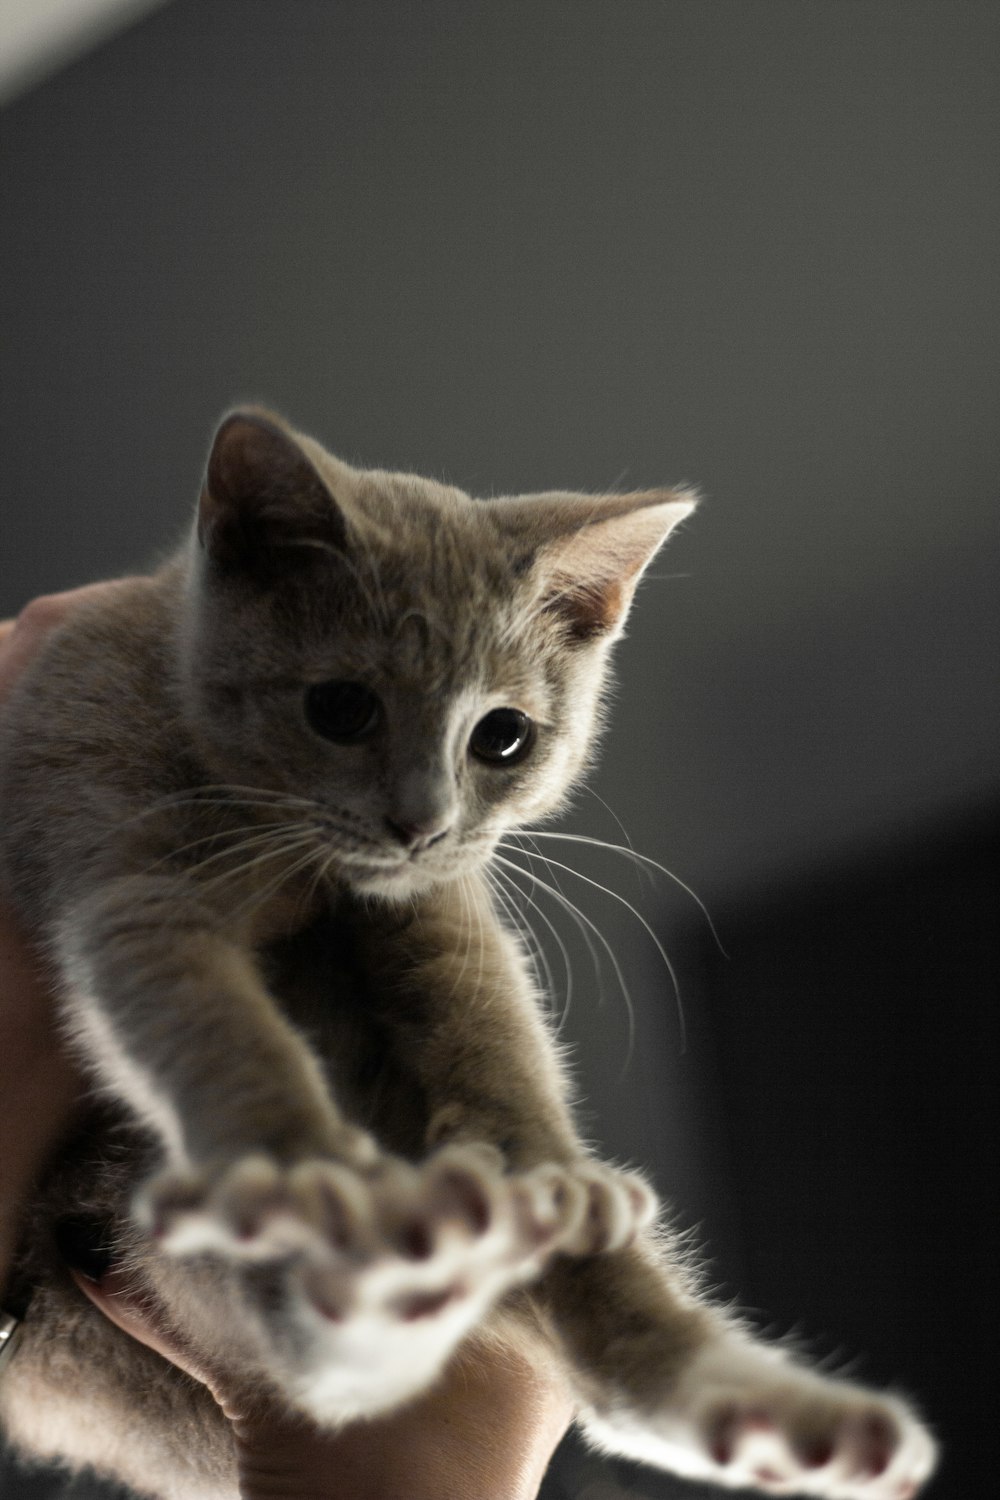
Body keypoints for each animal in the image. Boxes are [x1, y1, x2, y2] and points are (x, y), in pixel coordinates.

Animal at [0, 414, 941, 1500]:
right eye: (341, 708)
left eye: (503, 737)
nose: (420, 820)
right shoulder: (110, 832)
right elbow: (201, 1009)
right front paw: (294, 1161)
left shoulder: (445, 897)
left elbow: (483, 1009)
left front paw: (543, 1159)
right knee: (314, 1361)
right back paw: (393, 1269)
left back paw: (781, 1421)